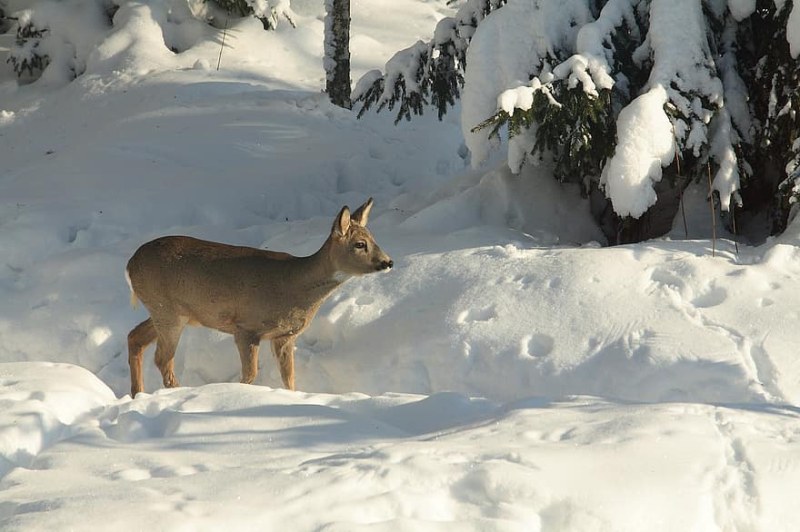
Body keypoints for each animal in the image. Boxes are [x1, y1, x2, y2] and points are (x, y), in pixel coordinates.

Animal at [124, 200, 394, 400]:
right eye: (360, 244)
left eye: (374, 238)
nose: (388, 262)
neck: (295, 285)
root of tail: (130, 264)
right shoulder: (246, 328)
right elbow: (249, 376)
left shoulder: (284, 336)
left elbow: (289, 378)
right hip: (168, 311)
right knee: (162, 359)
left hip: (167, 311)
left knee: (135, 337)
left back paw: (138, 395)